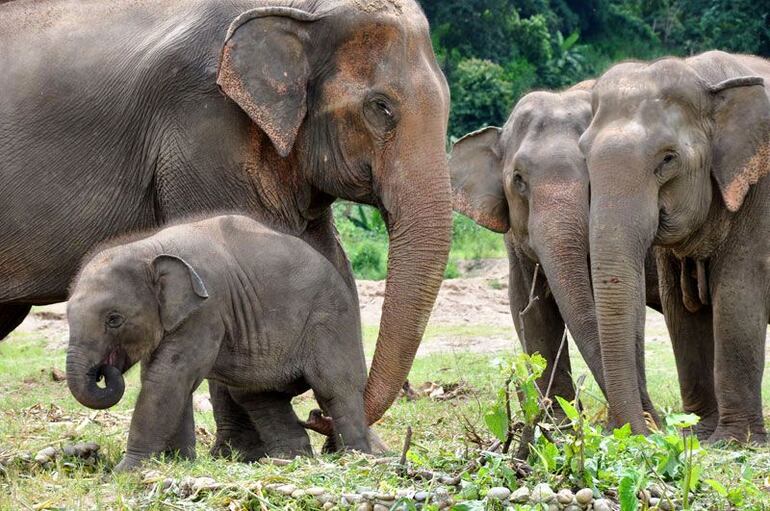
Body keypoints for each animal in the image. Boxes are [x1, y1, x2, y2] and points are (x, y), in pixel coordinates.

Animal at [63, 213, 368, 472]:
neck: (148, 247)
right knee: (260, 397)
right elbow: (168, 379)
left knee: (335, 389)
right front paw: (178, 463)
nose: (103, 371)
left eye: (114, 319)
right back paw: (291, 460)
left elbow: (167, 377)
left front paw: (127, 471)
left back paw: (358, 458)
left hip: (330, 320)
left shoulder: (207, 310)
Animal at [450, 82, 660, 422]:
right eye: (518, 179)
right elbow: (529, 307)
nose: (652, 419)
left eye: (594, 178)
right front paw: (558, 424)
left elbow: (627, 304)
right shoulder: (514, 241)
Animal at [584, 52, 768, 444]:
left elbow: (738, 296)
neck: (706, 78)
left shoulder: (762, 195)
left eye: (668, 159)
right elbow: (681, 311)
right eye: (583, 154)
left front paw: (733, 441)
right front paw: (695, 434)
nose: (645, 431)